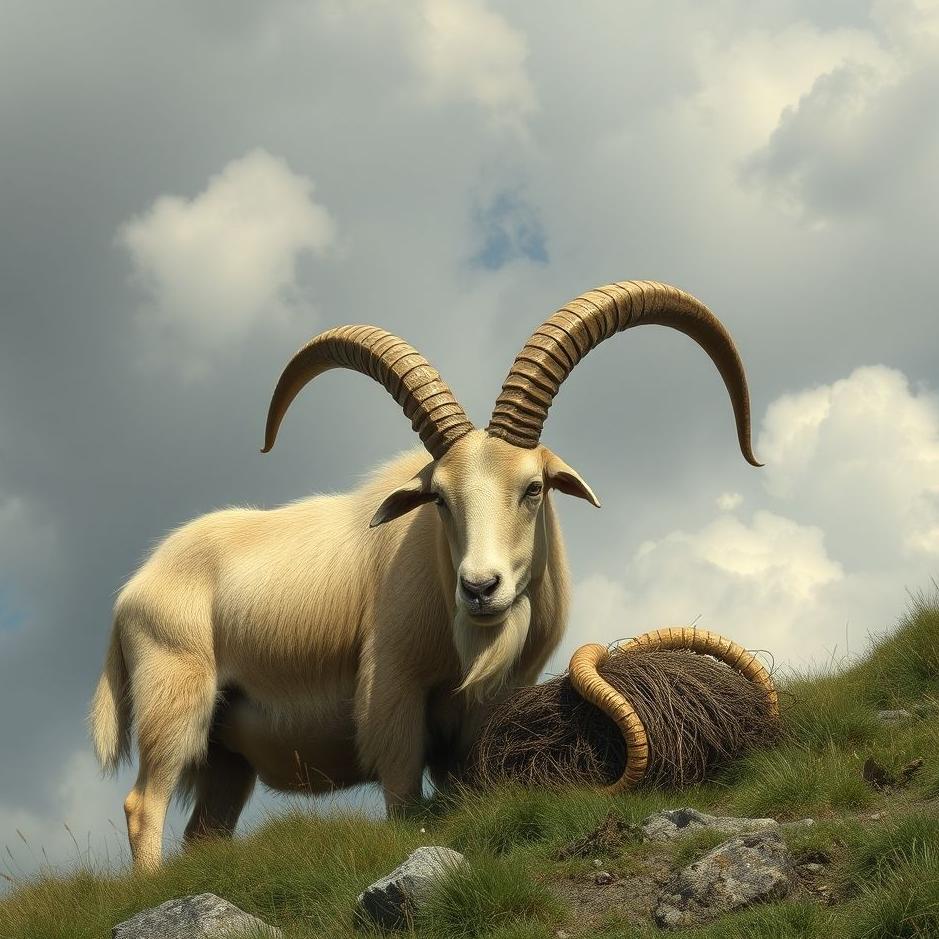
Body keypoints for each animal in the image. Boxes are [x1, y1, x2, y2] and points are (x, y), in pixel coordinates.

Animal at [89, 279, 761, 871]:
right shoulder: (394, 705)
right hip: (175, 707)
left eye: (534, 488)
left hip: (228, 760)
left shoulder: (476, 726)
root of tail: (131, 593)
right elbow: (404, 803)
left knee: (204, 833)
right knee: (142, 806)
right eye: (438, 497)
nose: (481, 589)